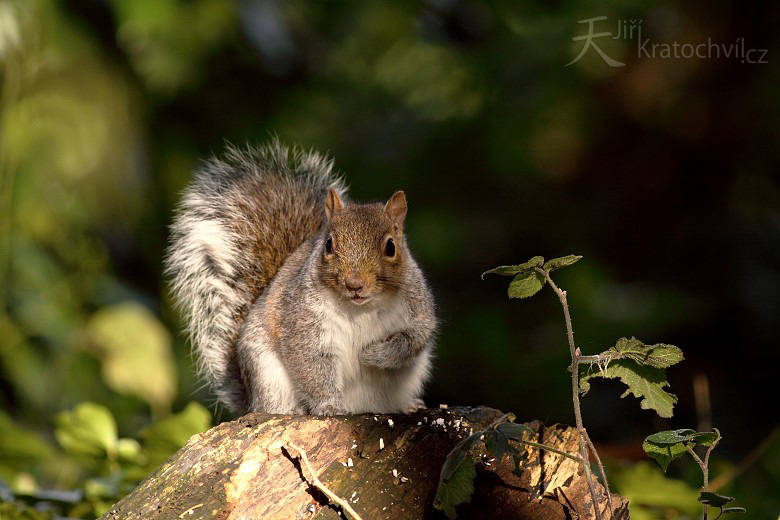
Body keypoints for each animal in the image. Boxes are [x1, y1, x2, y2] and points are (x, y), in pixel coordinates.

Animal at [164, 141, 436, 414]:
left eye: (391, 247)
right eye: (329, 244)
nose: (354, 285)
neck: (362, 308)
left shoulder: (417, 304)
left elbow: (415, 338)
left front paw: (375, 354)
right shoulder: (302, 320)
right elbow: (311, 366)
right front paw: (330, 406)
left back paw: (408, 405)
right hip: (267, 374)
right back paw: (296, 410)